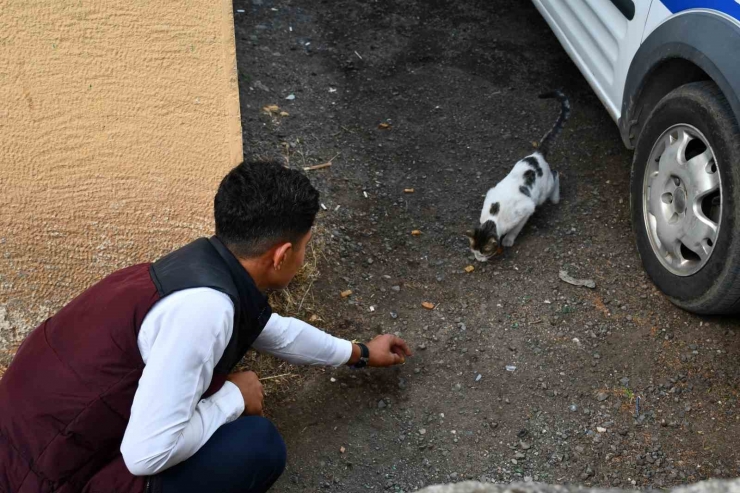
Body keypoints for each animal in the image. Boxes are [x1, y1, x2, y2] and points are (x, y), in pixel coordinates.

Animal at [466, 91, 568, 262]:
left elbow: (516, 228)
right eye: (474, 250)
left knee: (556, 174)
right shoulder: (490, 193)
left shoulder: (527, 209)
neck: (494, 217)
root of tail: (537, 155)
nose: (478, 260)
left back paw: (555, 198)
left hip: (543, 192)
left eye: (484, 252)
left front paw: (508, 239)